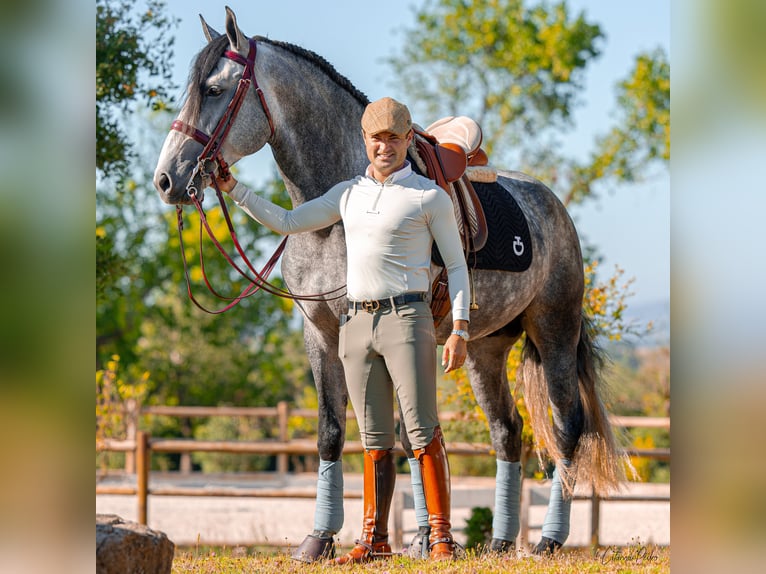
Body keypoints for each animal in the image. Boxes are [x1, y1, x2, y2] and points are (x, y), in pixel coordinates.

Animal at [154, 5, 624, 564]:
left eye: (215, 89)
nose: (166, 179)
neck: (334, 209)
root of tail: (553, 205)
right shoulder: (321, 333)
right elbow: (342, 433)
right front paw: (326, 540)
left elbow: (395, 435)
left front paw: (408, 539)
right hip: (484, 350)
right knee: (508, 432)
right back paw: (499, 541)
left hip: (554, 332)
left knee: (566, 427)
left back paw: (549, 539)